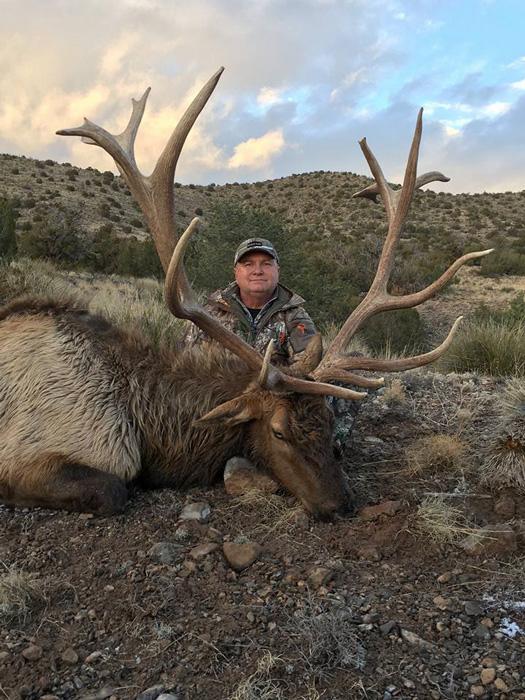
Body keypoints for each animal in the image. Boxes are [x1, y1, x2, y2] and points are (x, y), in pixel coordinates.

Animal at [0, 67, 491, 519]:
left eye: (328, 422)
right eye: (278, 431)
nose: (340, 505)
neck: (148, 428)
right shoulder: (40, 450)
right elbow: (112, 489)